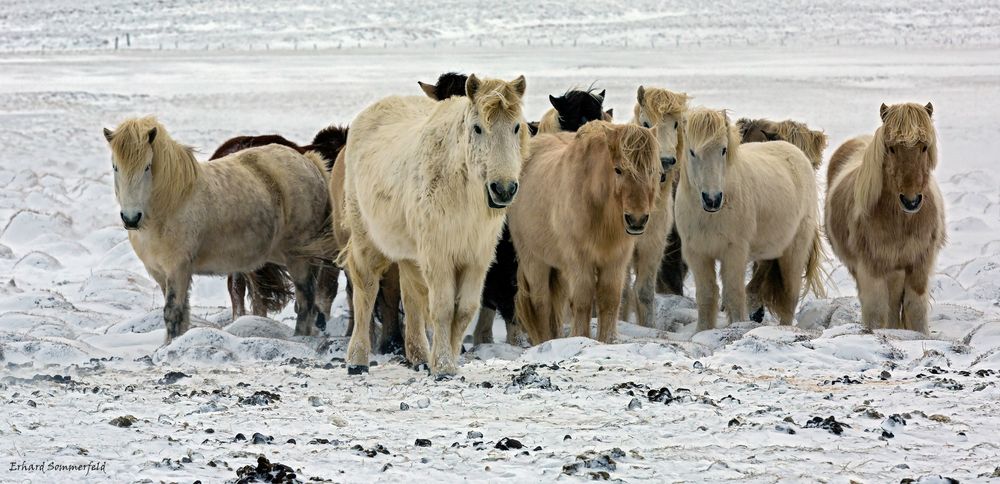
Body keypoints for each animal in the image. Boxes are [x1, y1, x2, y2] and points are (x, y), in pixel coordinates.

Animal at [338, 73, 528, 376]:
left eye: (516, 127)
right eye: (477, 128)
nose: (504, 189)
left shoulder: (477, 257)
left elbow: (464, 309)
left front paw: (448, 358)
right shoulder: (438, 254)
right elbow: (442, 308)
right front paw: (443, 366)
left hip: (410, 252)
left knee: (411, 294)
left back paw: (418, 356)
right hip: (366, 237)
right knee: (365, 289)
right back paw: (357, 360)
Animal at [508, 123, 664, 346]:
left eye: (652, 171)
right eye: (618, 169)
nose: (637, 220)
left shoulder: (615, 262)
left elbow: (609, 301)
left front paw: (607, 341)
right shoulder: (579, 262)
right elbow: (582, 302)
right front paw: (581, 336)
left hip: (559, 269)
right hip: (535, 261)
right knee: (541, 303)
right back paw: (545, 341)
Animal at [620, 86, 692, 328]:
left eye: (677, 124)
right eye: (645, 122)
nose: (666, 161)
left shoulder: (652, 246)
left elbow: (644, 293)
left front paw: (647, 326)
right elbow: (622, 292)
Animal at [676, 108, 824, 330]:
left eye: (723, 150)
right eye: (692, 152)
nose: (712, 199)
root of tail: (796, 152)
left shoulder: (734, 252)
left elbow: (734, 295)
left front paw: (738, 324)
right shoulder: (698, 254)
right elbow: (707, 295)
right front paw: (702, 331)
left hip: (793, 252)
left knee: (790, 296)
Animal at [824, 102, 940, 332]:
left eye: (924, 146)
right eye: (891, 147)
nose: (911, 201)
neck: (902, 221)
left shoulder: (919, 265)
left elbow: (915, 310)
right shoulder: (872, 268)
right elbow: (877, 311)